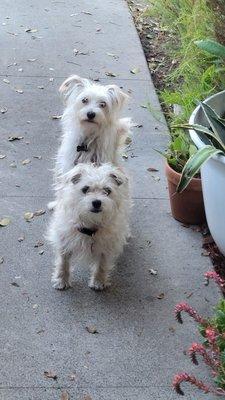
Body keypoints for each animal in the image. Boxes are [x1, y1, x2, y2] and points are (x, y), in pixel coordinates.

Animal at [47, 162, 132, 290]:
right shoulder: (64, 239)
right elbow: (63, 262)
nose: (97, 202)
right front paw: (61, 280)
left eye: (107, 190)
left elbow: (102, 264)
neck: (90, 224)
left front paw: (98, 281)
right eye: (85, 189)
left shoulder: (106, 245)